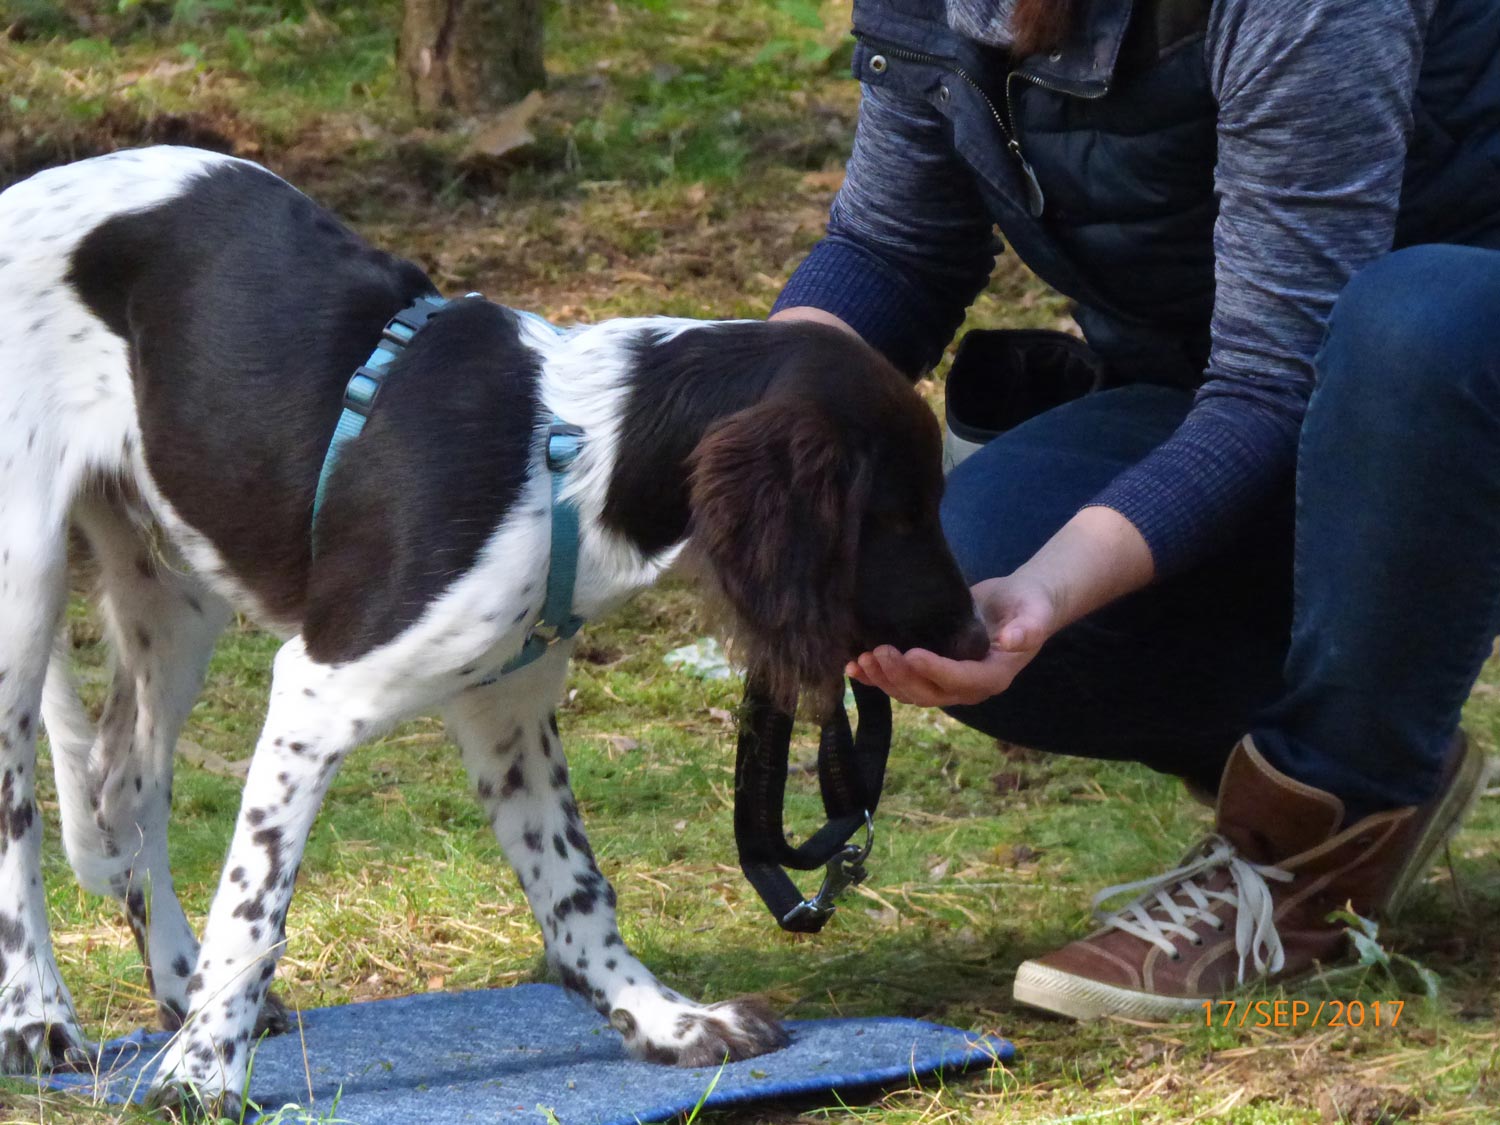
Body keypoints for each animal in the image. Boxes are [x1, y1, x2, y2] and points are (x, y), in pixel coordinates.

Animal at [0, 145, 990, 1116]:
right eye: (896, 514)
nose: (980, 642)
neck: (580, 450)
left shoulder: (506, 705)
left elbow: (575, 885)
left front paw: (664, 1020)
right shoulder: (318, 687)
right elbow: (256, 903)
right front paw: (201, 1073)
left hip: (174, 592)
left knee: (126, 785)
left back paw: (175, 981)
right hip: (23, 588)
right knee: (23, 812)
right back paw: (40, 1015)